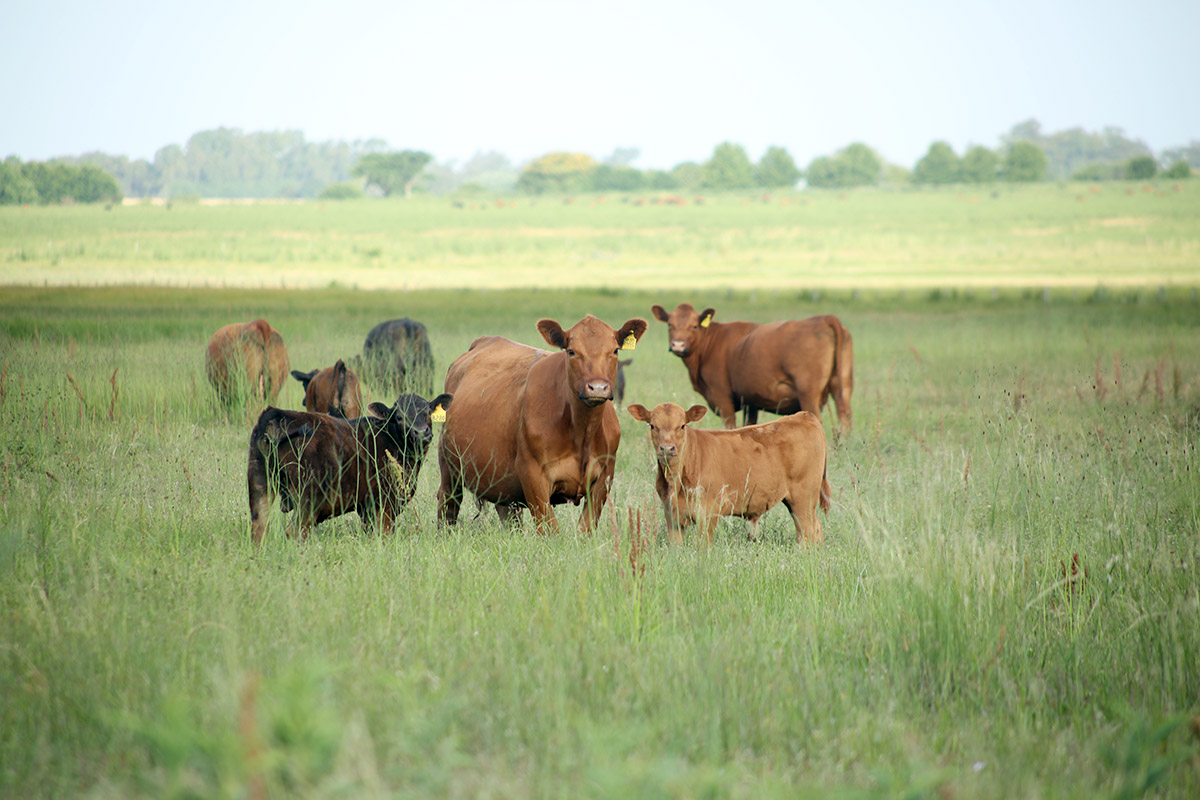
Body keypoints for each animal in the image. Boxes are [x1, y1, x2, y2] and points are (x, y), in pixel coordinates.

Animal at [246, 393, 451, 544]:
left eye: (427, 412)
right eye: (399, 417)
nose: (421, 432)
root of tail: (277, 413)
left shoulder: (366, 507)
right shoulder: (385, 503)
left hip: (260, 484)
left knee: (259, 529)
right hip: (309, 498)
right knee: (295, 532)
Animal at [439, 311, 648, 532]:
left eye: (615, 350)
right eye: (571, 351)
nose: (598, 387)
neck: (583, 431)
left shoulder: (604, 478)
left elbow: (585, 528)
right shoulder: (533, 476)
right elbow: (551, 530)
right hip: (448, 468)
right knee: (448, 504)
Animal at [624, 400, 830, 544]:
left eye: (682, 425)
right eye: (652, 425)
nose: (667, 448)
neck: (675, 479)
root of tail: (803, 416)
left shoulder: (708, 513)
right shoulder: (672, 515)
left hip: (803, 498)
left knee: (808, 530)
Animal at [648, 303, 854, 434]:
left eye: (694, 326)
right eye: (670, 324)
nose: (678, 345)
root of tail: (823, 319)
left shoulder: (722, 397)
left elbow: (730, 426)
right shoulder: (750, 401)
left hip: (808, 393)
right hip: (842, 387)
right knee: (845, 418)